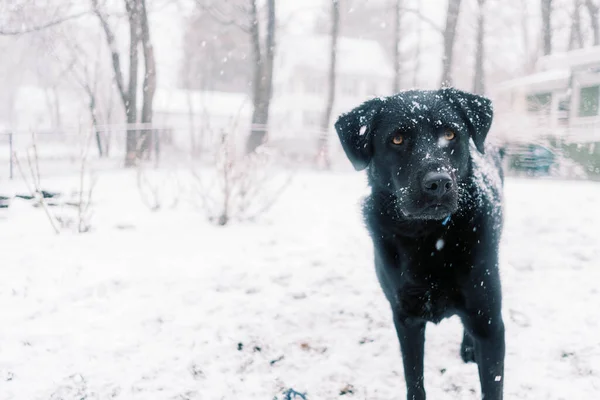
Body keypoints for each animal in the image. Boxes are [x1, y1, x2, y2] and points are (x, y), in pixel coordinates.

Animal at [336, 88, 504, 400]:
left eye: (450, 134)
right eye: (397, 139)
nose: (438, 183)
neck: (429, 237)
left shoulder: (490, 324)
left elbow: (492, 386)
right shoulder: (406, 319)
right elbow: (414, 381)